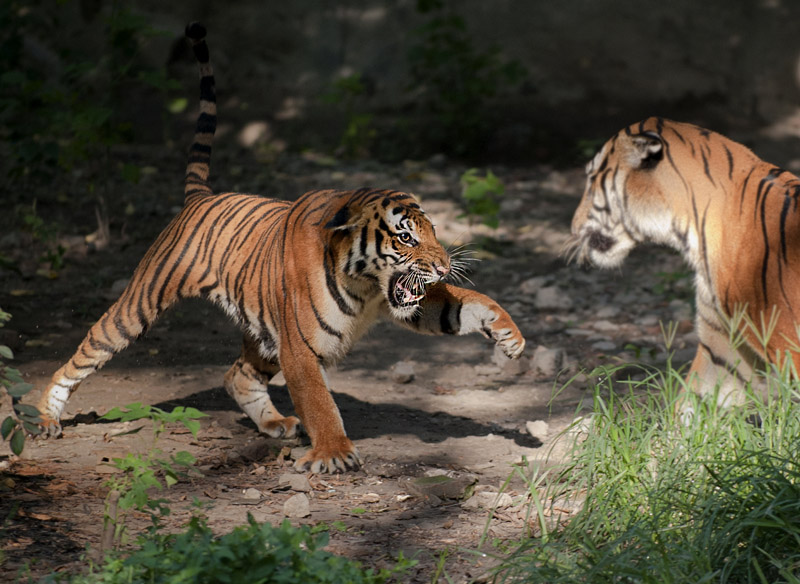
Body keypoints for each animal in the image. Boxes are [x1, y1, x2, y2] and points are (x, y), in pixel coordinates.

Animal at [34, 22, 524, 474]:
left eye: (433, 233)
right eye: (406, 237)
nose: (442, 267)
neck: (367, 285)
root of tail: (200, 196)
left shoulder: (397, 305)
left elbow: (465, 304)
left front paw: (508, 334)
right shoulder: (301, 347)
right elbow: (319, 402)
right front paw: (333, 452)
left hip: (263, 335)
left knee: (236, 375)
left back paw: (275, 424)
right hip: (140, 306)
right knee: (86, 351)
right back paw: (45, 418)